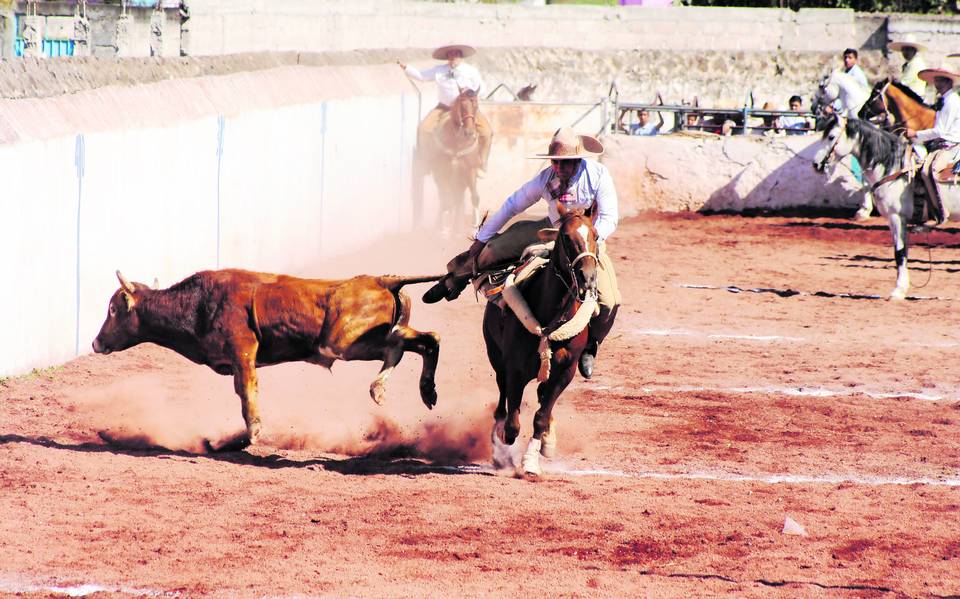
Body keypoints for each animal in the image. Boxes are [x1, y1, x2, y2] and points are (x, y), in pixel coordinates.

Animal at [92, 270, 444, 450]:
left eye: (113, 309)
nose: (96, 342)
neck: (199, 303)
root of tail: (381, 279)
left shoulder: (243, 353)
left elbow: (247, 394)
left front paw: (251, 434)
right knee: (417, 342)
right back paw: (410, 390)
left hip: (342, 342)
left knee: (414, 342)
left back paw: (399, 387)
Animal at [414, 89, 484, 237]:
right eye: (461, 105)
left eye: (476, 106)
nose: (469, 132)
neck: (457, 143)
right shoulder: (440, 173)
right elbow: (446, 201)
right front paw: (443, 230)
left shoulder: (470, 171)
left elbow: (474, 197)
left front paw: (473, 228)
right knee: (447, 199)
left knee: (458, 199)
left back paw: (457, 228)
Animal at [480, 204, 600, 476]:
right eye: (566, 237)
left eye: (596, 236)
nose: (587, 278)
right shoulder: (514, 368)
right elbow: (512, 423)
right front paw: (504, 446)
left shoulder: (565, 371)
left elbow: (541, 416)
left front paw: (531, 461)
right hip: (496, 358)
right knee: (502, 403)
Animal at [812, 112, 960, 300]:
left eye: (831, 137)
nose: (815, 164)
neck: (894, 169)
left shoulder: (896, 217)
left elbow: (900, 252)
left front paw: (898, 291)